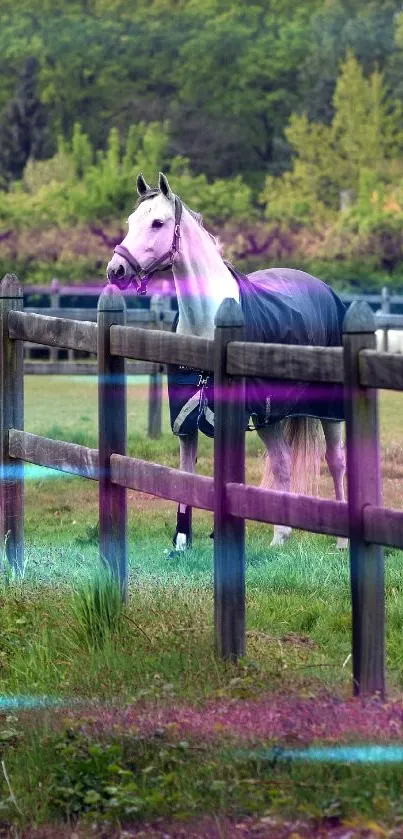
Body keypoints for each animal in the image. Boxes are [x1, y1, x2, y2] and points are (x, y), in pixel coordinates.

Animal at [106, 172, 348, 552]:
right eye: (131, 222)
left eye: (158, 222)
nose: (116, 270)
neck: (207, 321)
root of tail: (324, 290)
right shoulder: (185, 419)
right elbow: (185, 474)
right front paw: (181, 541)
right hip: (268, 416)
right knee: (282, 461)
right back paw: (280, 537)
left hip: (329, 409)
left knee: (335, 461)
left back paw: (341, 542)